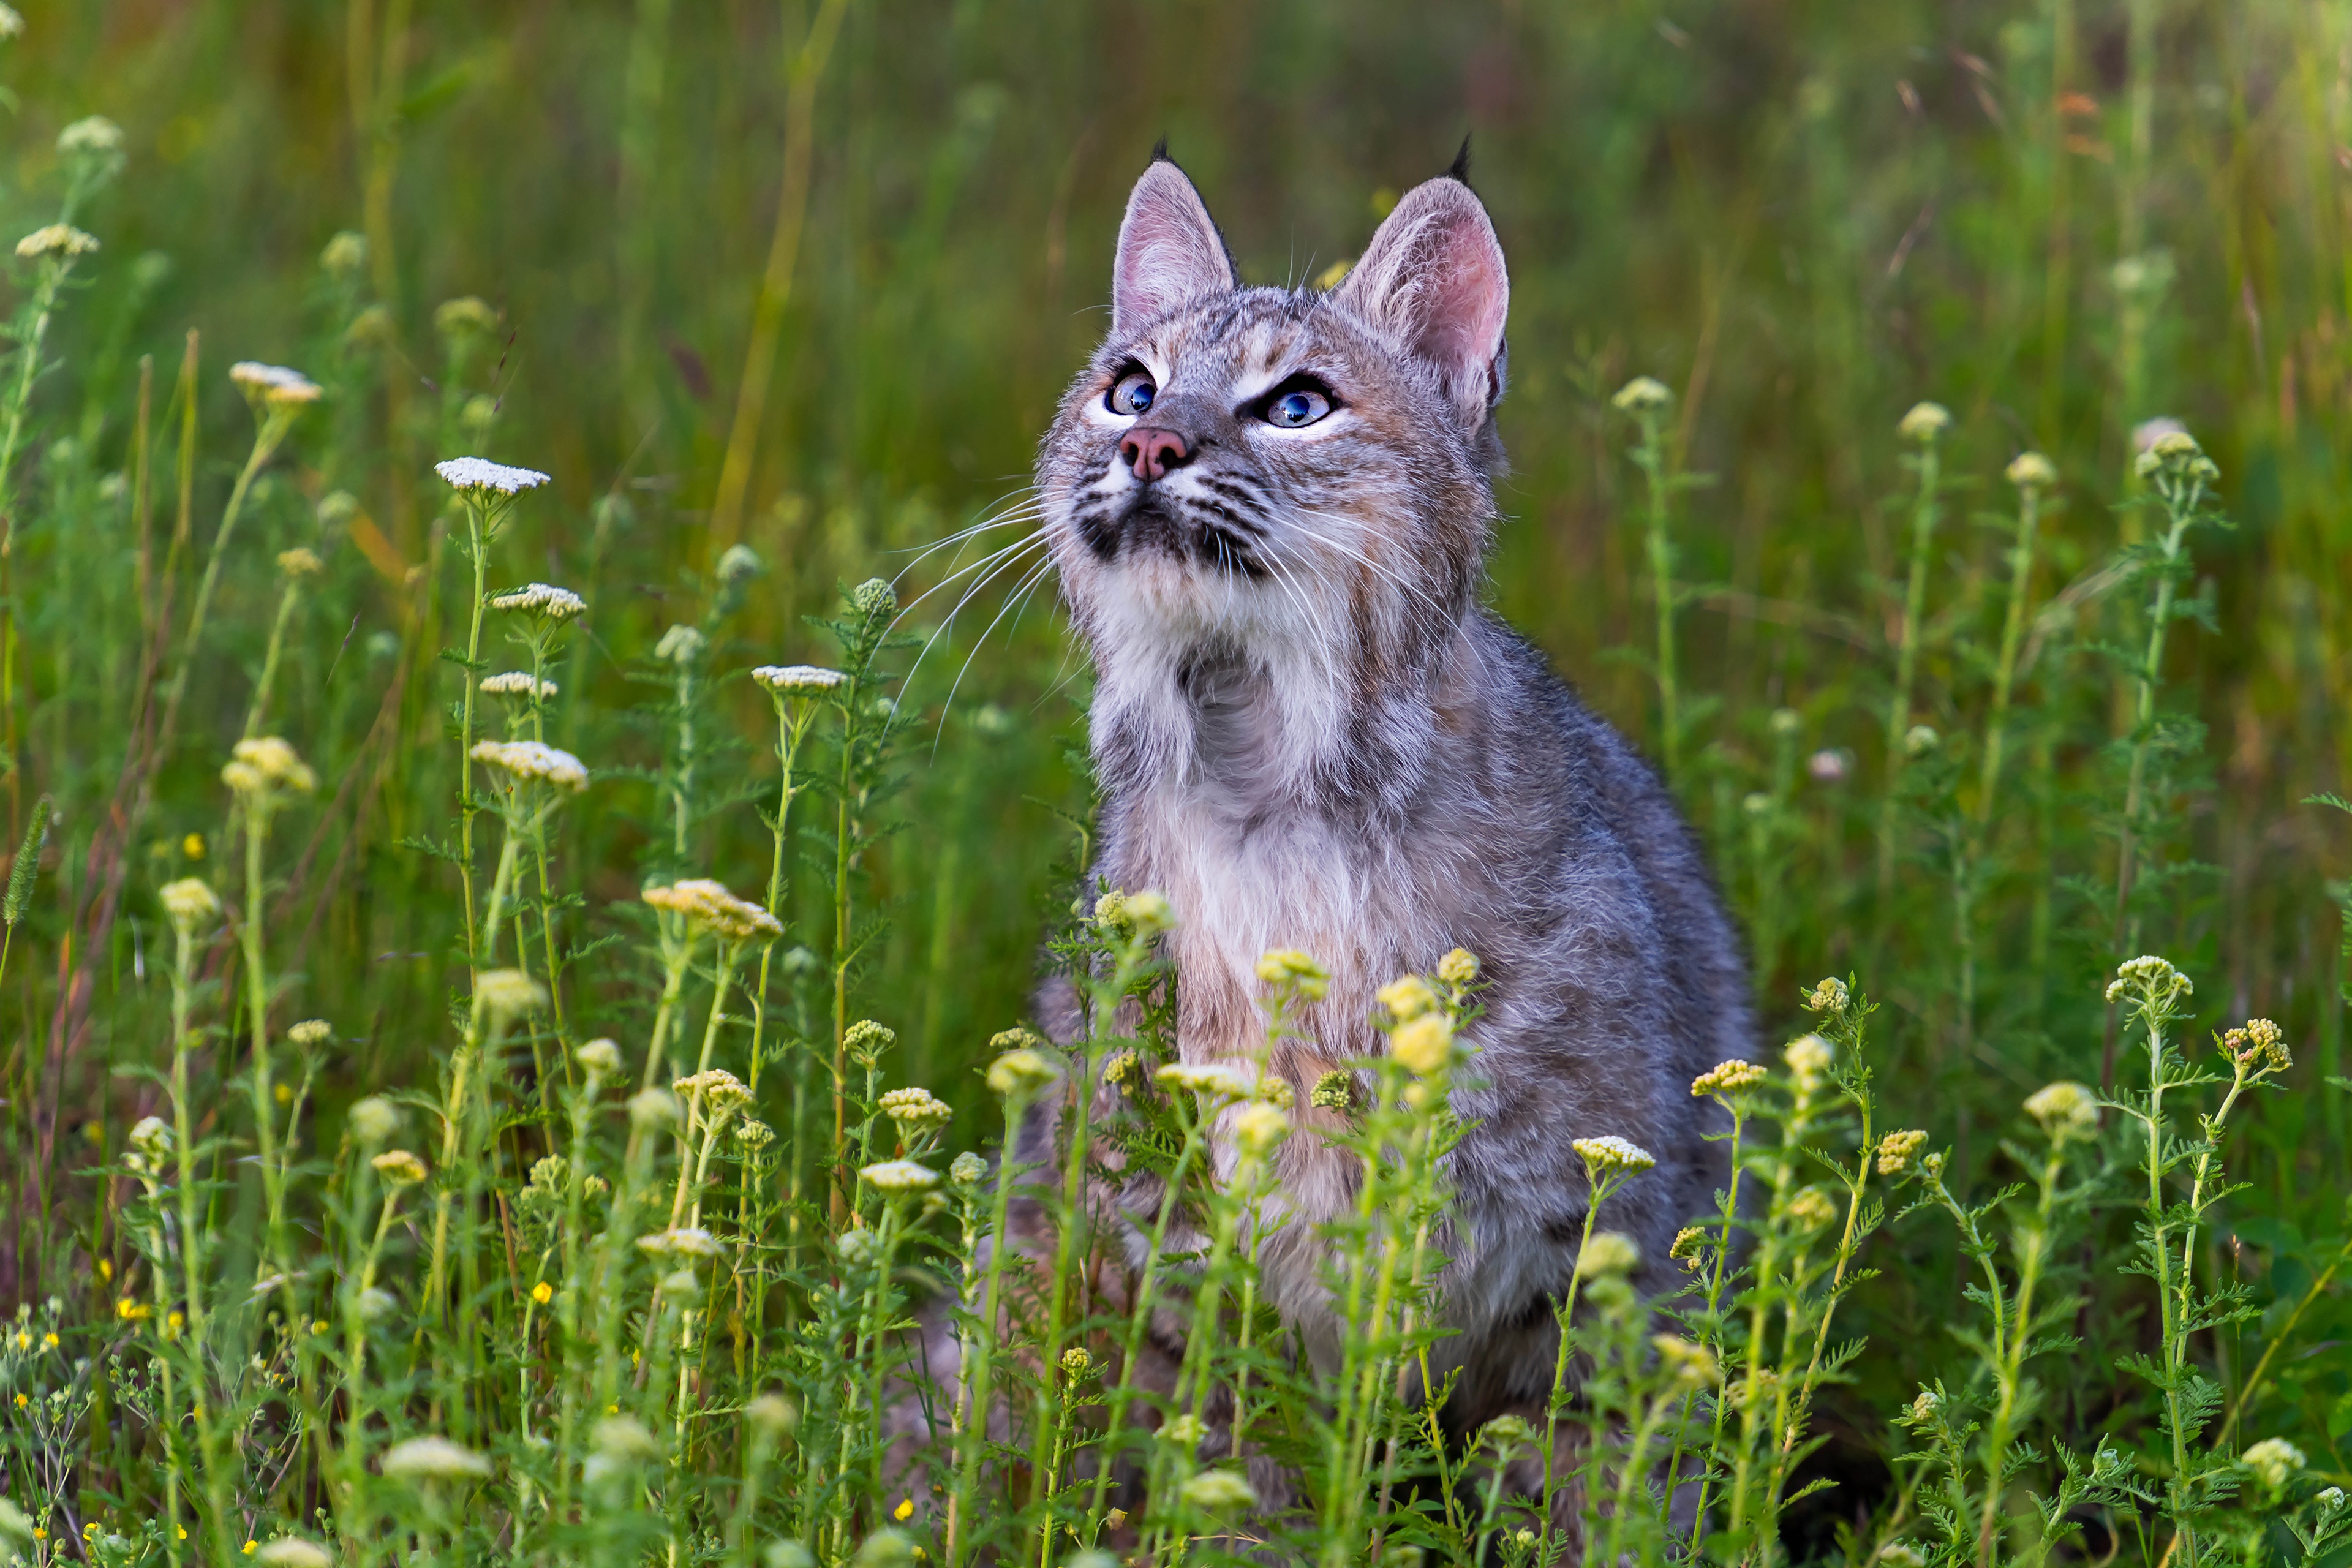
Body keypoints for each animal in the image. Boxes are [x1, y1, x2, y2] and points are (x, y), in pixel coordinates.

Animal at [936, 153, 1749, 1523]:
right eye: (1129, 388)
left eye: (1298, 404)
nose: (1149, 444)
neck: (1261, 768)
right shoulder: (1173, 1255)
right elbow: (1230, 1476)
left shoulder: (1597, 1263)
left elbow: (1587, 1493)